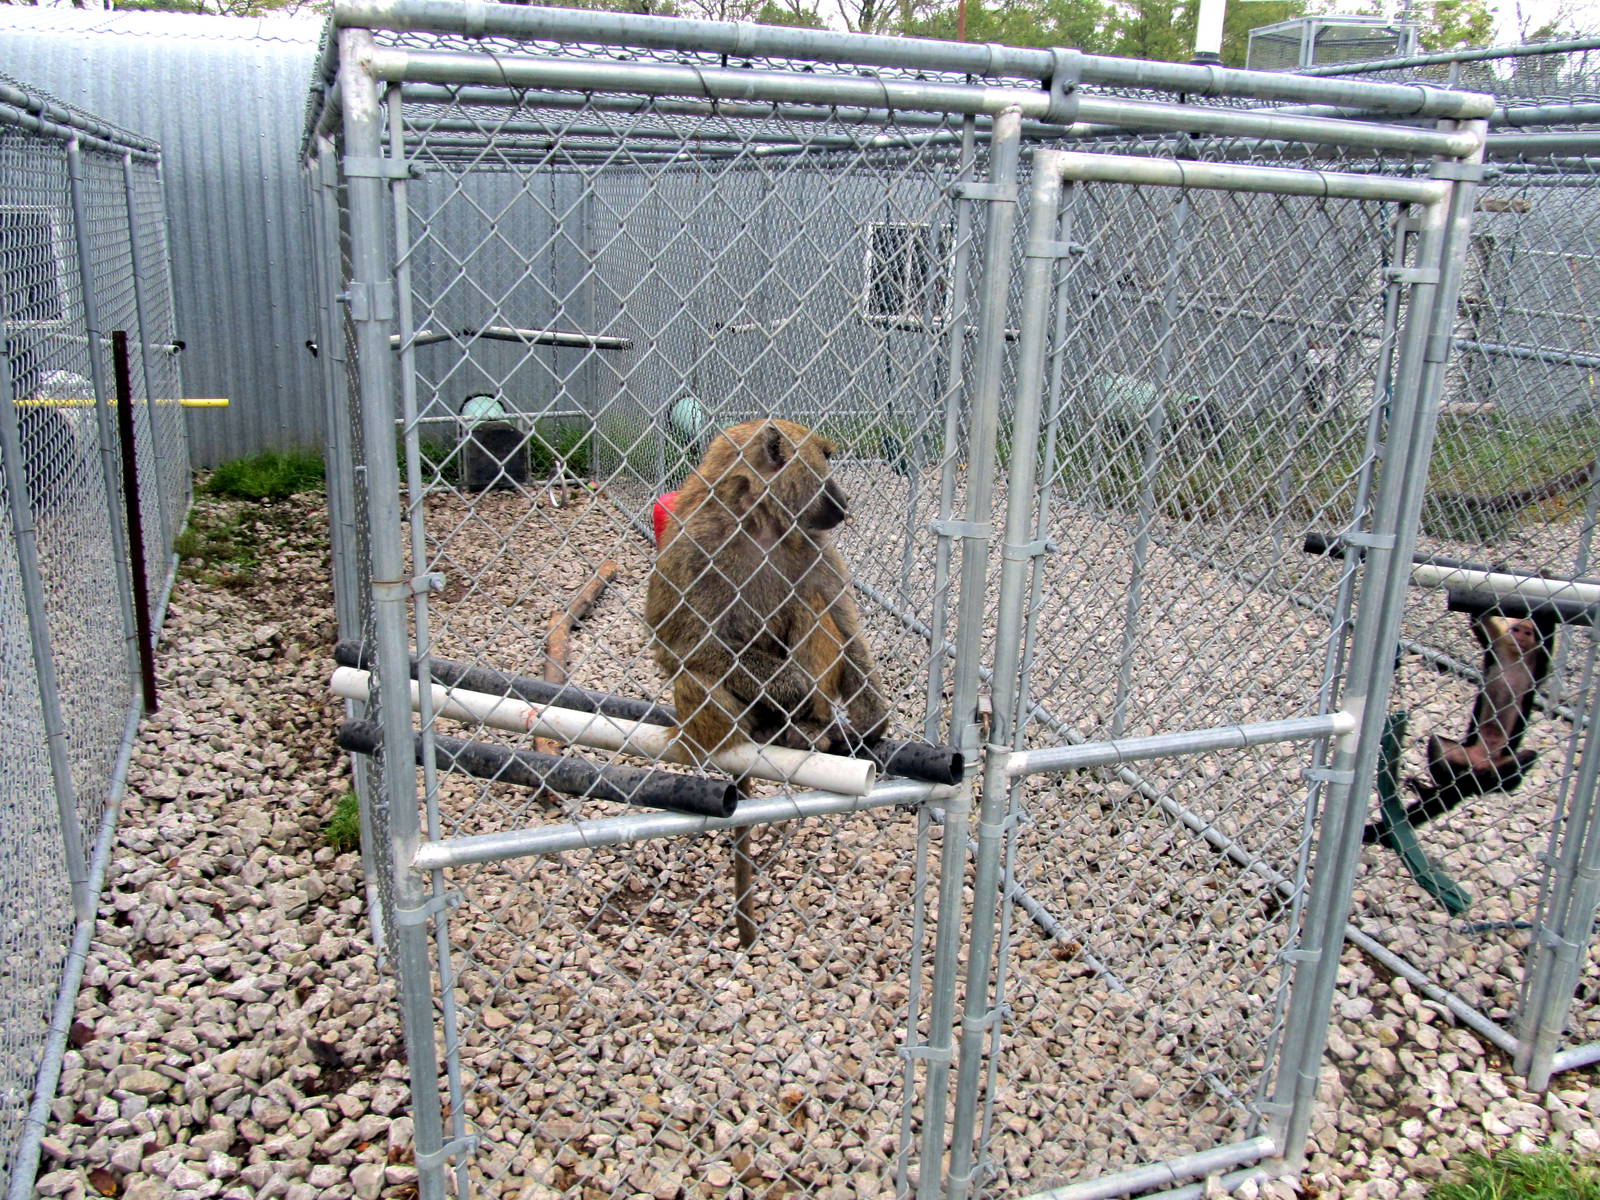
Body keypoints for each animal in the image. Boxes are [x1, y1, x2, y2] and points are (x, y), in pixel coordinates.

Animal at [645, 418, 889, 762]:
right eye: (826, 458)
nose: (846, 498)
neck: (759, 519)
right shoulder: (695, 548)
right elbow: (683, 645)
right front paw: (795, 687)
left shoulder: (816, 546)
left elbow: (846, 628)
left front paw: (872, 721)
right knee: (697, 676)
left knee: (809, 604)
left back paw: (808, 729)